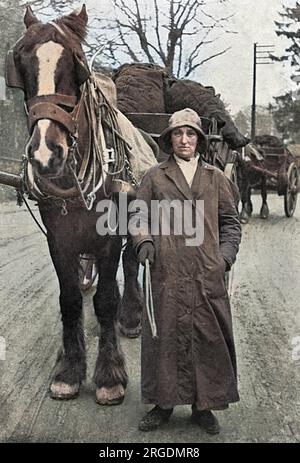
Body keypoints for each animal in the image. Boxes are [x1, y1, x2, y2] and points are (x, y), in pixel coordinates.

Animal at [6, 5, 143, 404]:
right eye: (21, 62)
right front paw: (68, 369)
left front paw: (109, 375)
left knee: (132, 265)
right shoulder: (59, 238)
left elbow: (107, 299)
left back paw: (131, 317)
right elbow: (69, 300)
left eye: (77, 64)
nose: (45, 154)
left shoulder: (110, 237)